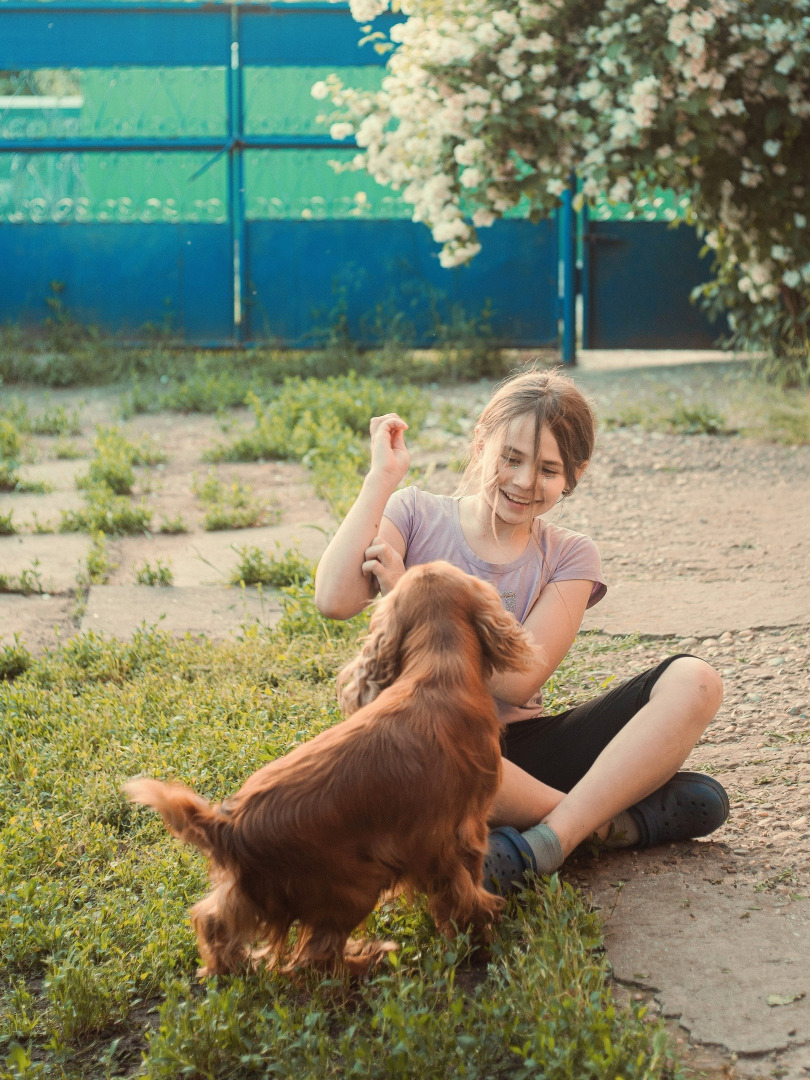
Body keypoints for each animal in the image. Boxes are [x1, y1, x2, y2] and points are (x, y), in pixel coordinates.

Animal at [123, 561, 535, 976]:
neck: (438, 669)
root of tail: (226, 826)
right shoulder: (458, 835)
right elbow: (465, 895)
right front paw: (480, 937)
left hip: (255, 891)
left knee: (214, 920)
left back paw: (231, 966)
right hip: (354, 884)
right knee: (317, 958)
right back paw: (368, 958)